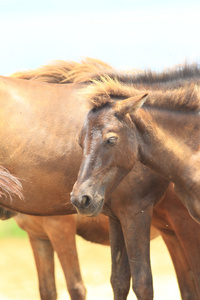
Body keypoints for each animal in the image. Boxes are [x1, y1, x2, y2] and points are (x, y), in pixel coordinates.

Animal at [1, 59, 200, 298]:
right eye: (79, 141)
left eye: (111, 139)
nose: (80, 198)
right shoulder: (115, 217)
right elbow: (118, 281)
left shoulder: (136, 212)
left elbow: (139, 283)